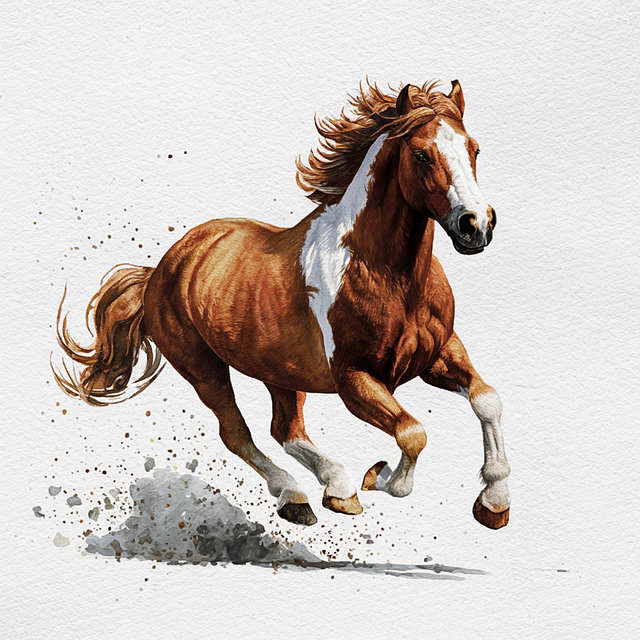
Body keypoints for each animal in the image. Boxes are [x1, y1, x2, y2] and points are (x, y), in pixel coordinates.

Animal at [54, 80, 511, 530]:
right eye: (421, 154)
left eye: (474, 149)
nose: (476, 225)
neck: (389, 276)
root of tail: (162, 269)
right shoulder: (355, 378)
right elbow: (412, 433)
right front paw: (378, 476)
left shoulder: (439, 354)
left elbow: (487, 399)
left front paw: (494, 501)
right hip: (204, 369)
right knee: (238, 434)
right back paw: (302, 495)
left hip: (278, 371)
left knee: (285, 430)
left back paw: (334, 489)